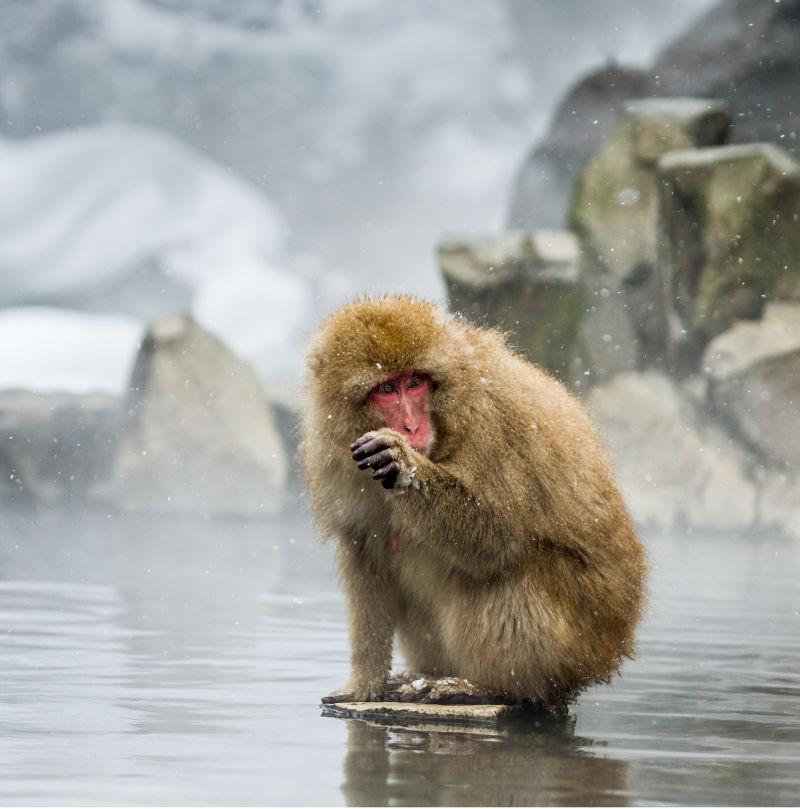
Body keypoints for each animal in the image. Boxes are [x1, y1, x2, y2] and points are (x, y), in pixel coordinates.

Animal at [304, 296, 648, 708]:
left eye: (415, 382)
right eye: (386, 388)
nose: (411, 427)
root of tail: (613, 649)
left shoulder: (490, 422)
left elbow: (496, 536)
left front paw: (404, 465)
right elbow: (366, 558)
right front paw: (364, 684)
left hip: (580, 638)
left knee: (510, 570)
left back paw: (492, 687)